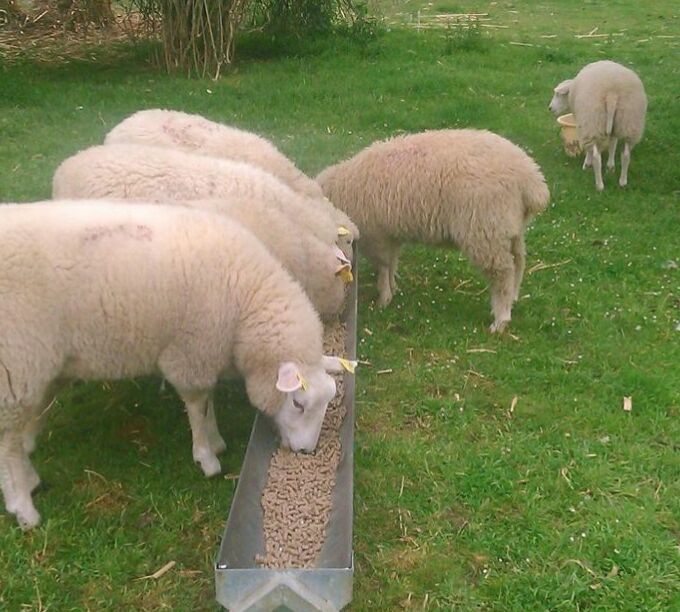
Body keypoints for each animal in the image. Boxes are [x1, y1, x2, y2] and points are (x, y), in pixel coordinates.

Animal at [0, 200, 355, 529]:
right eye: (298, 403)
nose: (307, 452)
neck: (245, 302)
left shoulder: (205, 354)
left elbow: (208, 402)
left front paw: (215, 441)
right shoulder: (191, 354)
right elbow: (199, 406)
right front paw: (208, 455)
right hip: (16, 368)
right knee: (8, 444)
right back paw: (23, 506)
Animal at [317, 129, 550, 333]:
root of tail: (532, 180)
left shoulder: (376, 235)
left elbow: (383, 266)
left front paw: (384, 297)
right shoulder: (390, 234)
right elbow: (392, 262)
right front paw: (393, 288)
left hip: (485, 230)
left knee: (502, 274)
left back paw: (501, 319)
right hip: (509, 227)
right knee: (519, 261)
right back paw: (514, 297)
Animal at [549, 60, 647, 191]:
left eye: (558, 94)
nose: (550, 108)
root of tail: (612, 93)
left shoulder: (584, 124)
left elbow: (589, 148)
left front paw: (586, 164)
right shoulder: (613, 128)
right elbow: (613, 144)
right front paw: (610, 166)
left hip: (593, 122)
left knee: (597, 157)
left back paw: (599, 185)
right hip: (628, 122)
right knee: (626, 154)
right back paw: (622, 181)